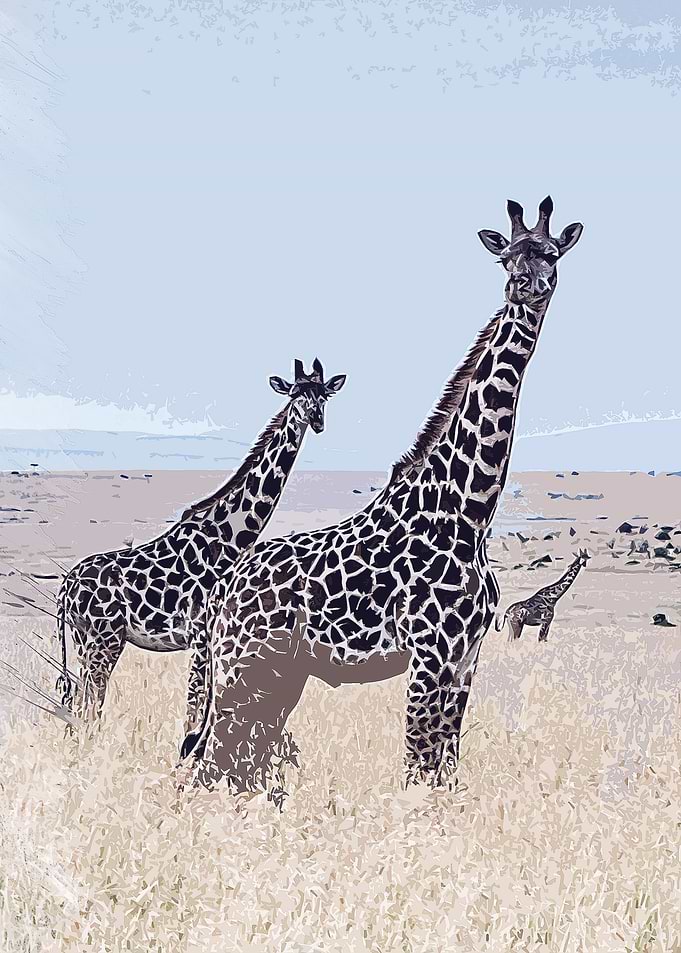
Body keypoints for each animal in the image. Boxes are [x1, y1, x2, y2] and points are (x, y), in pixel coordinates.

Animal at [56, 359, 346, 728]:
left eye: (324, 396)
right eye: (295, 395)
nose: (318, 421)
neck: (230, 535)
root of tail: (66, 586)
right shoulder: (200, 634)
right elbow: (195, 709)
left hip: (85, 639)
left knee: (81, 705)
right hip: (103, 638)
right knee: (89, 706)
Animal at [181, 196, 583, 796]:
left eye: (551, 253)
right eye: (505, 256)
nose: (522, 285)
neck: (470, 509)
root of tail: (219, 592)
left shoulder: (465, 659)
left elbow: (445, 773)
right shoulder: (428, 653)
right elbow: (416, 768)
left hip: (278, 674)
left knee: (235, 762)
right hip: (244, 663)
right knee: (210, 762)